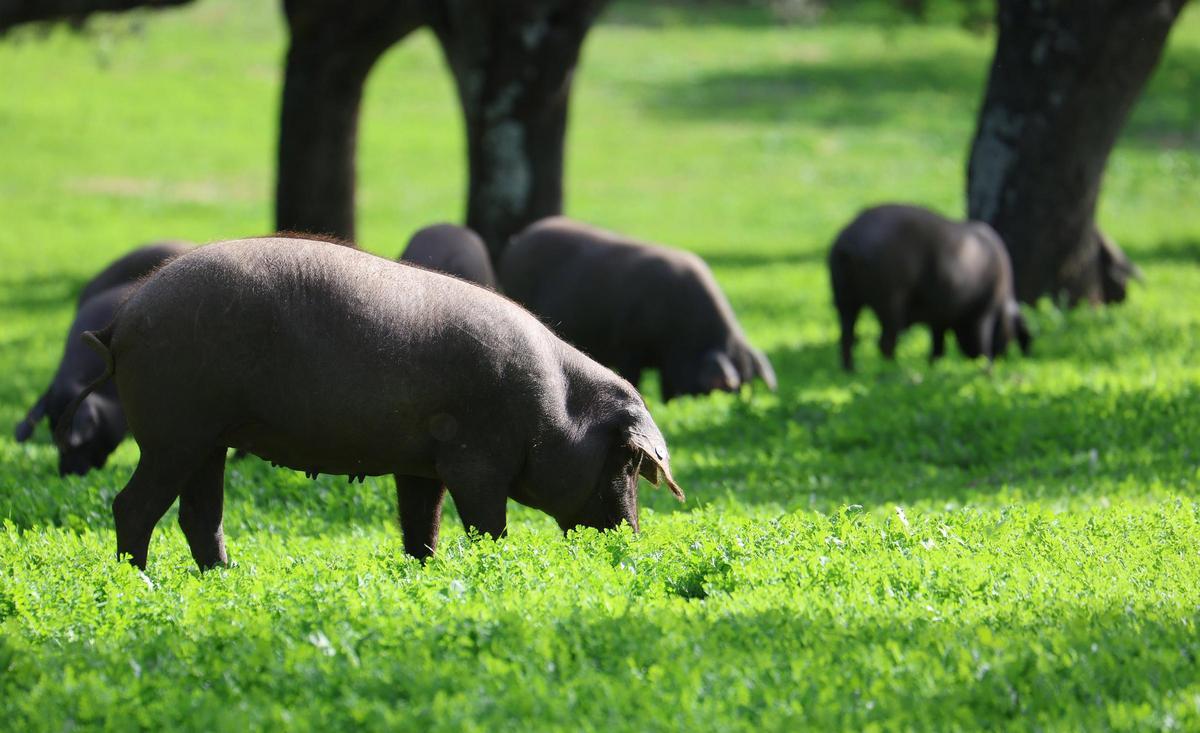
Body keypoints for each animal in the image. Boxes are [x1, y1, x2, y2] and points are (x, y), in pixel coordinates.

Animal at [56, 237, 691, 571]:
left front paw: (426, 573)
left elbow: (421, 529)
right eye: (628, 464)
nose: (632, 541)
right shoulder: (475, 460)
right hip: (173, 432)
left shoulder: (423, 464)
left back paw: (224, 579)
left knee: (198, 516)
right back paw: (141, 583)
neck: (555, 412)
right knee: (132, 506)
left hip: (208, 439)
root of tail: (122, 324)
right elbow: (488, 528)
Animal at [499, 214, 772, 405]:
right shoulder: (629, 346)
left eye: (747, 384)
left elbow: (667, 389)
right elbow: (634, 377)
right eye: (729, 388)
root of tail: (517, 243)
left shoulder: (667, 362)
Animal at [825, 202, 1032, 369]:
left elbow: (938, 347)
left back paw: (851, 372)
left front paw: (934, 367)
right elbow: (982, 346)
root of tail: (848, 243)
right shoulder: (982, 313)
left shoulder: (939, 318)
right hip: (890, 301)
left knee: (847, 338)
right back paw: (892, 371)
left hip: (845, 301)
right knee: (886, 342)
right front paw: (986, 370)